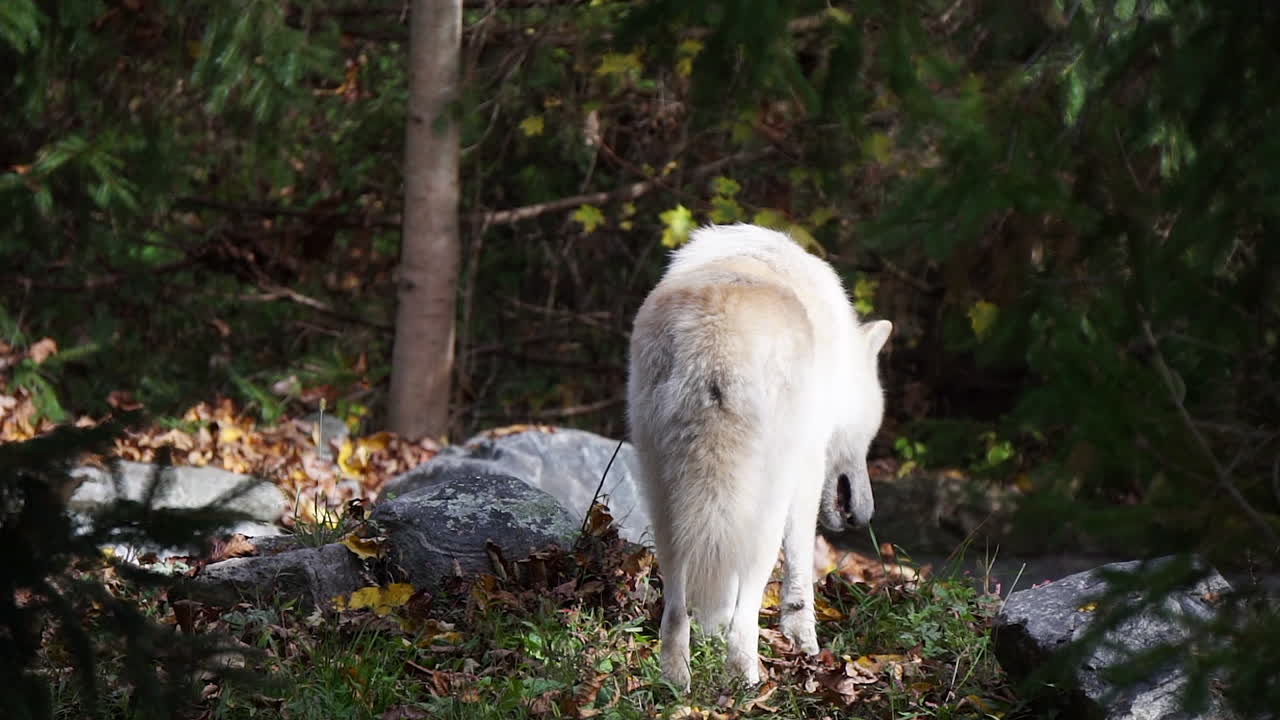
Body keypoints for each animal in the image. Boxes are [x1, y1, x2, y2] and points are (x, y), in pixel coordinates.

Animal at [627, 223, 892, 690]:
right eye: (869, 436)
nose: (865, 514)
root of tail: (716, 337)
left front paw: (711, 631)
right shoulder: (807, 472)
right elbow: (800, 573)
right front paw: (804, 643)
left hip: (664, 498)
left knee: (676, 607)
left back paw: (677, 681)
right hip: (765, 505)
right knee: (747, 603)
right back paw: (746, 679)